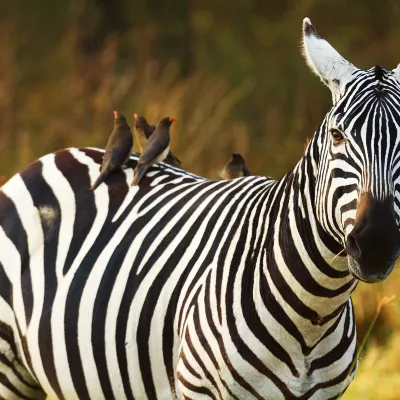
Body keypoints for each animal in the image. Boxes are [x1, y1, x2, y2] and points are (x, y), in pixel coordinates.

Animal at [0, 18, 400, 400]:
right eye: (337, 136)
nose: (377, 244)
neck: (314, 314)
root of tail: (56, 155)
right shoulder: (200, 387)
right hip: (10, 371)